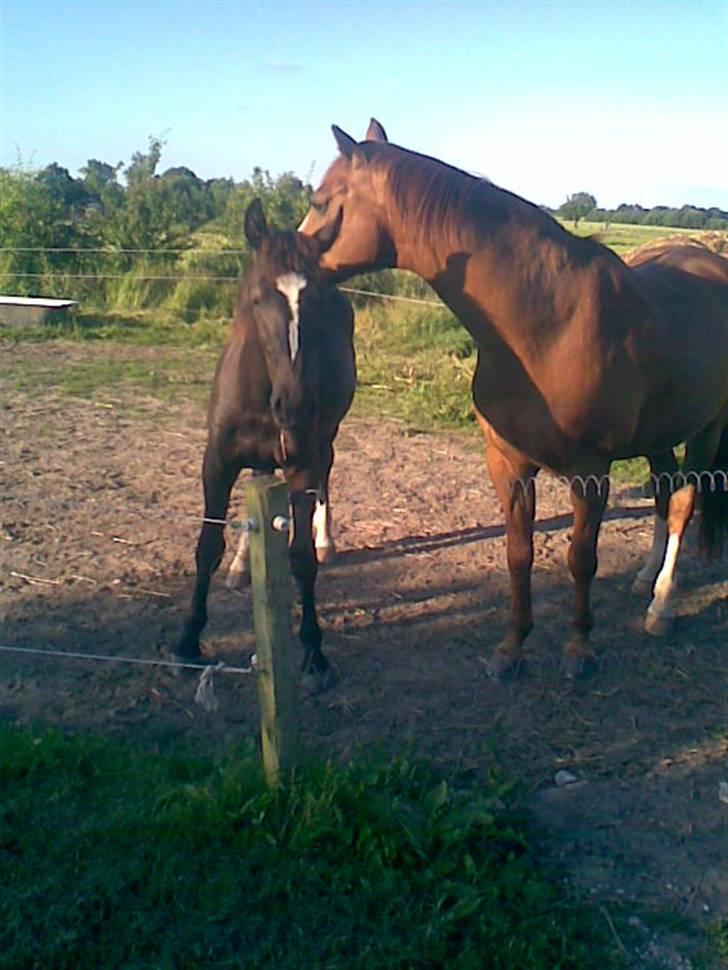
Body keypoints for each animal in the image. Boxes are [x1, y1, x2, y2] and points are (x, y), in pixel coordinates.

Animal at [178, 199, 356, 688]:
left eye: (317, 302)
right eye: (258, 297)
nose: (293, 404)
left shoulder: (302, 462)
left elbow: (301, 559)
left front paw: (314, 651)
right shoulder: (217, 462)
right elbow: (207, 546)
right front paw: (188, 642)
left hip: (325, 440)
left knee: (326, 480)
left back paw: (326, 541)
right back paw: (243, 565)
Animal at [298, 123, 724, 680]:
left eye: (322, 202)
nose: (284, 266)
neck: (547, 324)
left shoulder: (591, 471)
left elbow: (581, 560)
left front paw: (578, 648)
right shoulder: (508, 463)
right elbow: (518, 554)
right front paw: (511, 647)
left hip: (707, 427)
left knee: (683, 504)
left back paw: (663, 604)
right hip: (658, 434)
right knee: (663, 491)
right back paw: (645, 579)